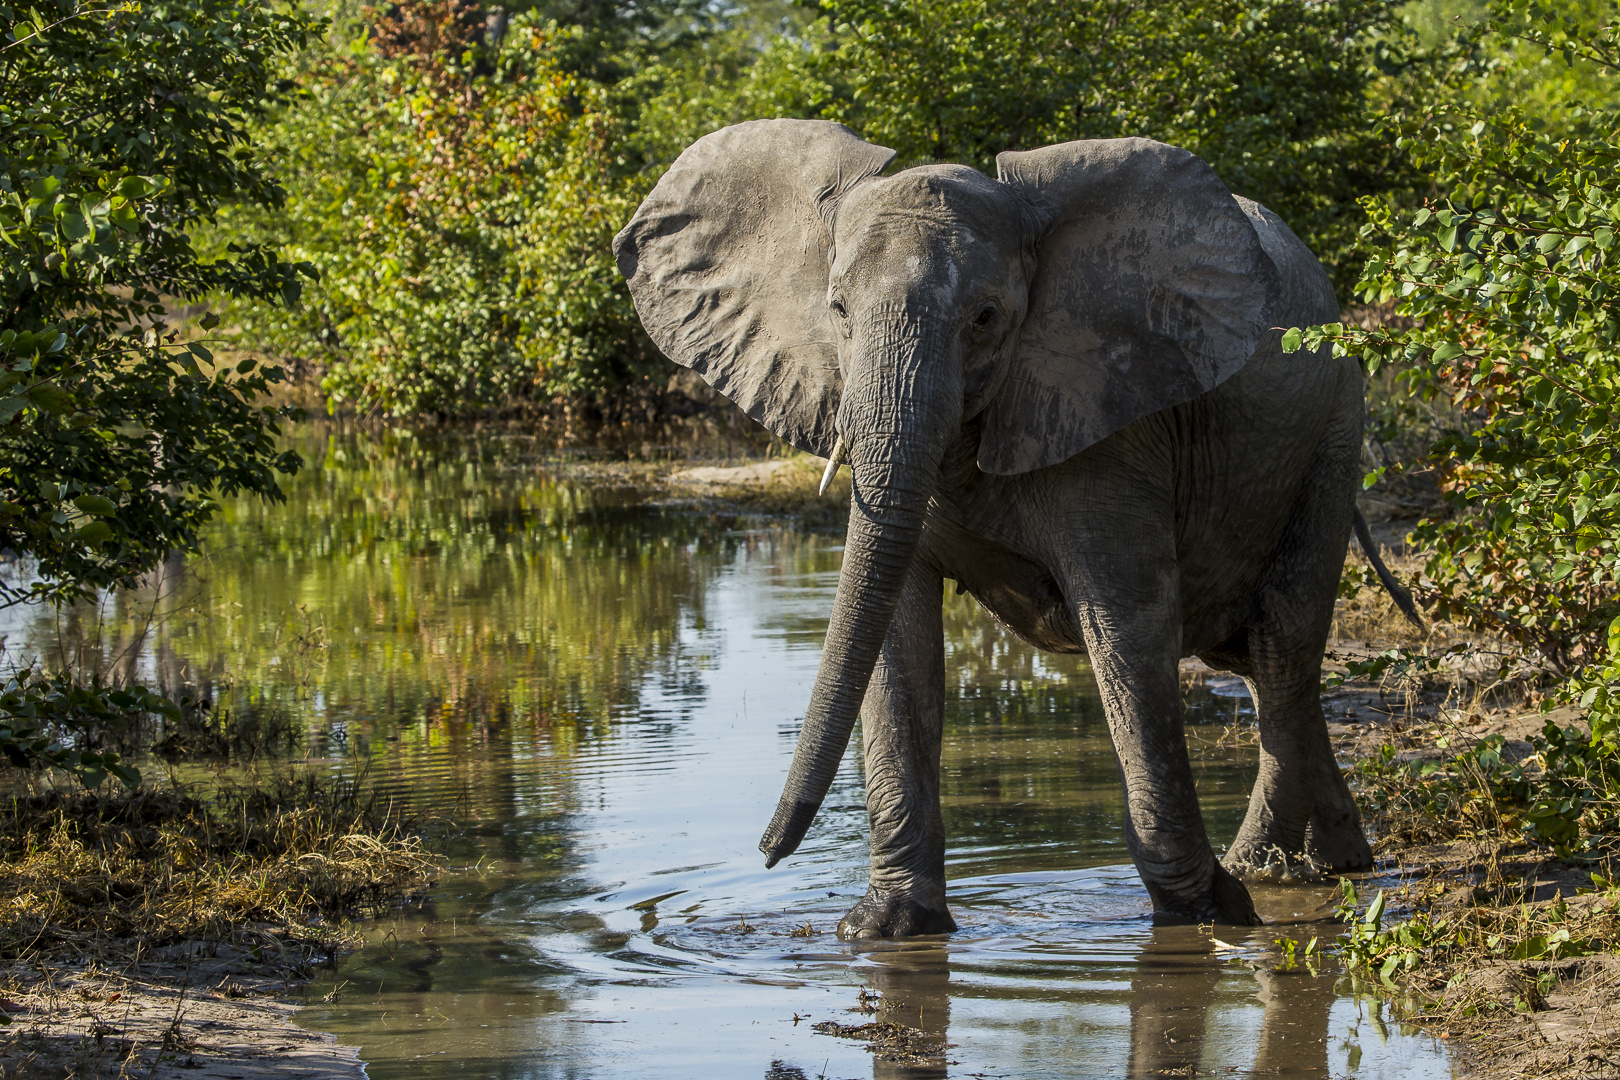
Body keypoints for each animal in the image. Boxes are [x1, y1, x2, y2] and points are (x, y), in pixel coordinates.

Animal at [612, 116, 1412, 932]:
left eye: (986, 318)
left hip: (1333, 431)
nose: (767, 853)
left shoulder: (1113, 422)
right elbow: (895, 637)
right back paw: (1339, 862)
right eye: (837, 311)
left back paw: (1262, 872)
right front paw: (887, 929)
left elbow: (1127, 625)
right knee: (1262, 661)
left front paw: (1206, 914)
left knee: (1281, 648)